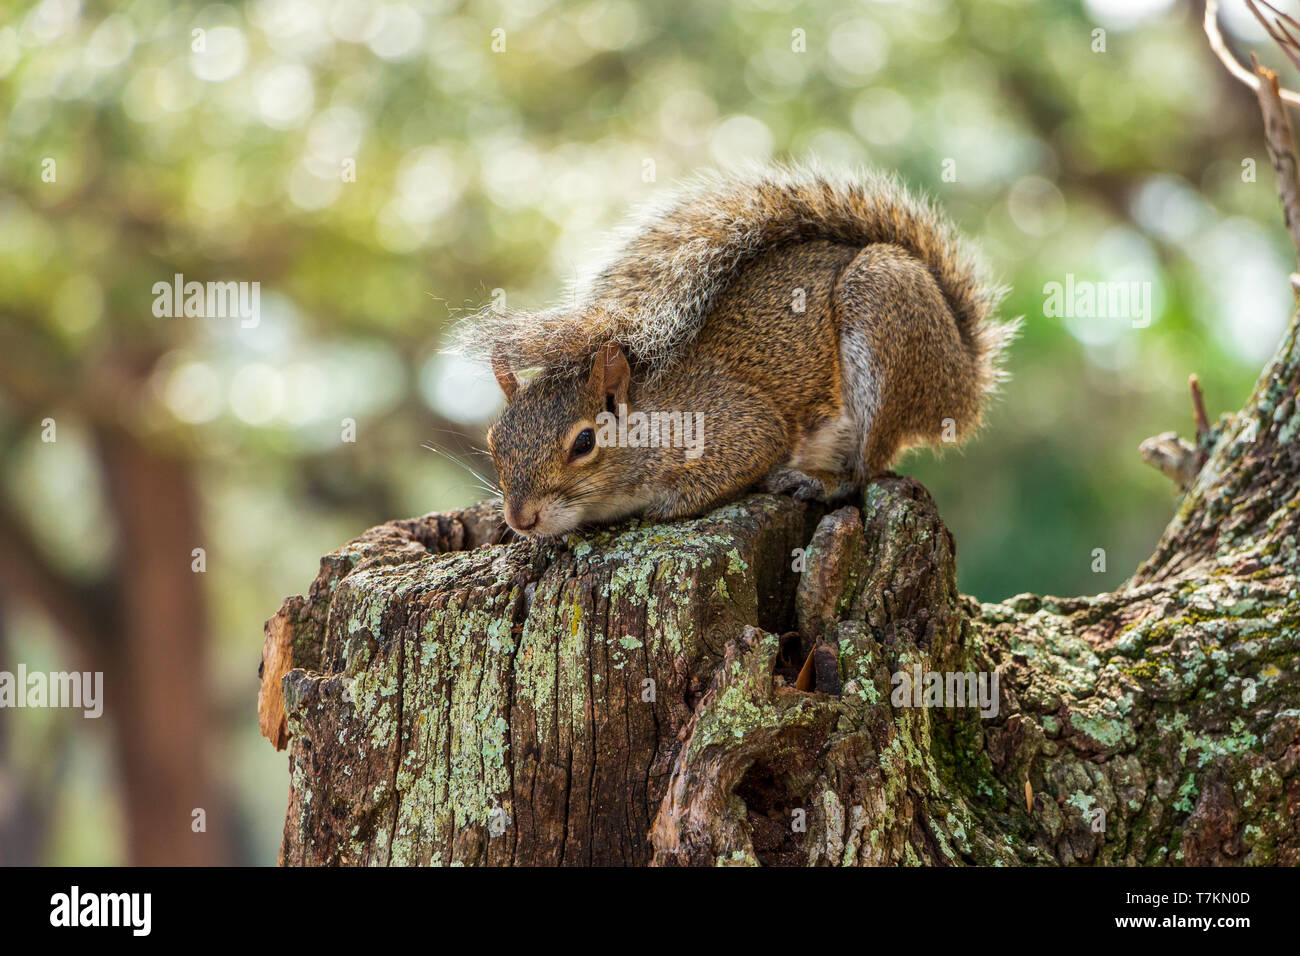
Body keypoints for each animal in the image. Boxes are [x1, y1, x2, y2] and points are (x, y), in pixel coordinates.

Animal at [457, 163, 1013, 538]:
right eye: (493, 442)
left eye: (585, 443)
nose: (520, 519)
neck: (652, 418)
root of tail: (962, 379)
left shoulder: (737, 426)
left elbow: (746, 455)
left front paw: (664, 508)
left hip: (881, 312)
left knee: (867, 470)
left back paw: (816, 481)